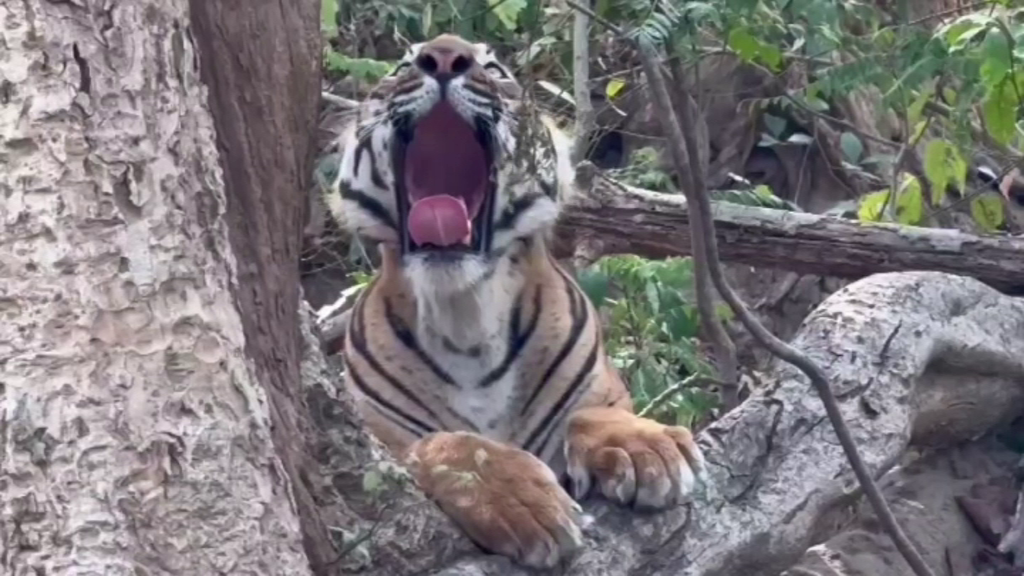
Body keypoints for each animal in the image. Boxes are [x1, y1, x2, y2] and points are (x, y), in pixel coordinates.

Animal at [323, 33, 706, 569]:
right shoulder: (376, 438)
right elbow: (451, 443)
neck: (465, 312)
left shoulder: (599, 389)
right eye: (403, 65)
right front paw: (522, 503)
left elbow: (597, 412)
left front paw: (647, 449)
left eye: (495, 68)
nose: (444, 55)